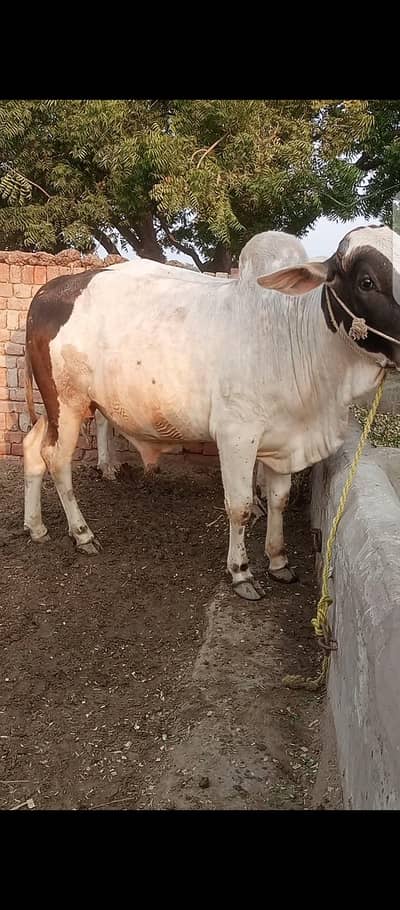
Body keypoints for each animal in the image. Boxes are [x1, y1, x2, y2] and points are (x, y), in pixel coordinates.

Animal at [23, 225, 400, 601]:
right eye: (367, 281)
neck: (289, 334)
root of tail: (48, 291)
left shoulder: (283, 439)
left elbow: (279, 500)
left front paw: (279, 561)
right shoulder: (237, 436)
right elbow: (240, 506)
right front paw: (241, 572)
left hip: (56, 408)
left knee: (32, 448)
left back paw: (36, 526)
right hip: (67, 404)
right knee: (56, 459)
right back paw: (82, 533)